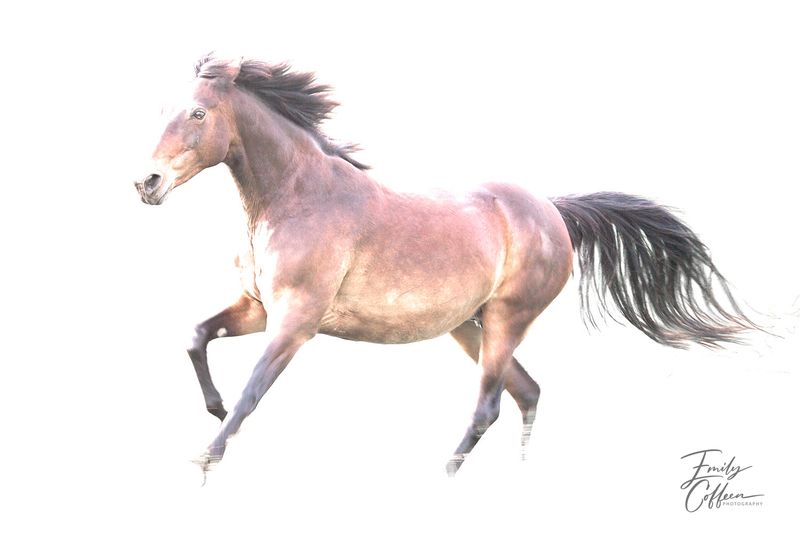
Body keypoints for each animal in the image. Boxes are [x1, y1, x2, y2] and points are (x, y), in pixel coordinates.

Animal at [134, 56, 755, 477]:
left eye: (198, 113)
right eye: (161, 111)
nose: (147, 183)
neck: (297, 196)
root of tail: (553, 211)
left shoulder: (296, 322)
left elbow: (253, 391)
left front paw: (207, 457)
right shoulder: (258, 309)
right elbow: (196, 337)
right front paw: (213, 410)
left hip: (504, 321)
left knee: (489, 408)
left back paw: (444, 476)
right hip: (469, 327)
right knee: (528, 393)